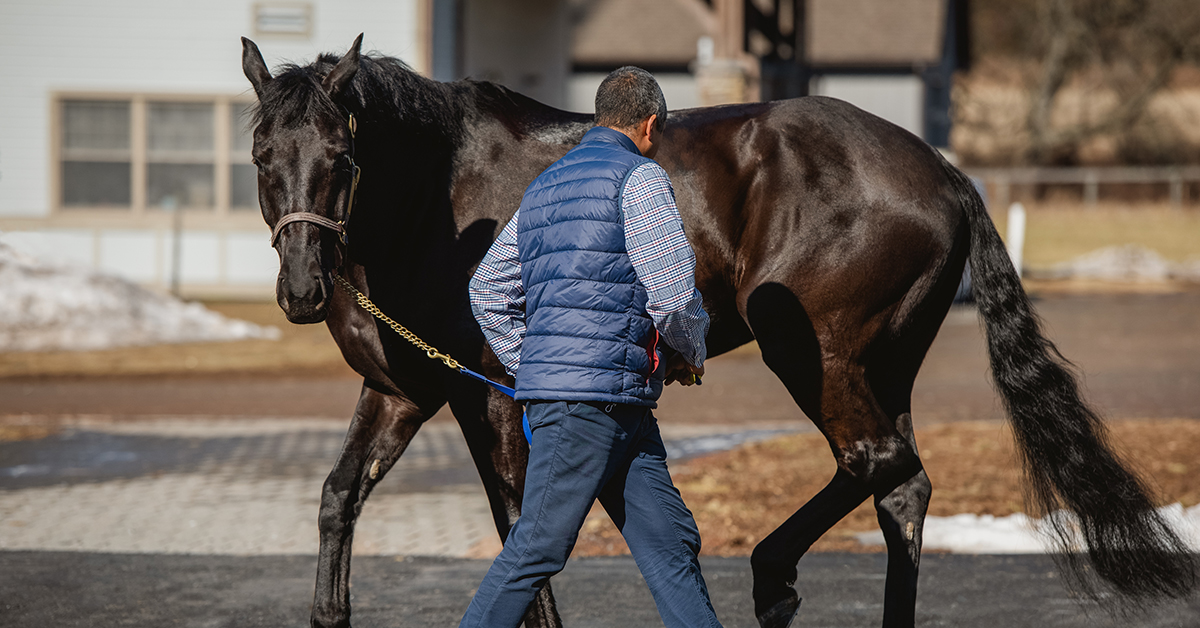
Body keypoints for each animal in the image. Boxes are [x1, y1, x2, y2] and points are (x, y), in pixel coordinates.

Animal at [240, 35, 1196, 628]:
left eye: (342, 156)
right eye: (262, 156)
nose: (302, 289)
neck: (439, 199)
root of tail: (943, 169)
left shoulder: (493, 398)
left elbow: (519, 525)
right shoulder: (401, 390)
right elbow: (338, 497)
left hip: (814, 351)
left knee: (876, 462)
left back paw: (771, 575)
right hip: (883, 364)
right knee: (903, 488)